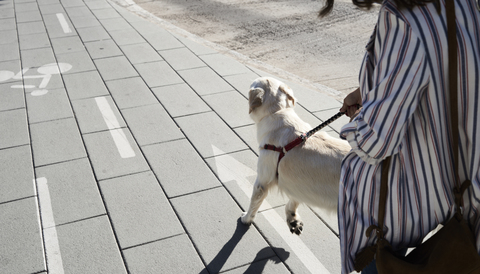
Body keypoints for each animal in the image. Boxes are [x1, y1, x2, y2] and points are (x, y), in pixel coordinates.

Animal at [242, 76, 350, 233]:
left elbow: (254, 203)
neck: (277, 112)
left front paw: (246, 218)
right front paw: (292, 218)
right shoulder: (297, 182)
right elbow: (294, 199)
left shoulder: (262, 180)